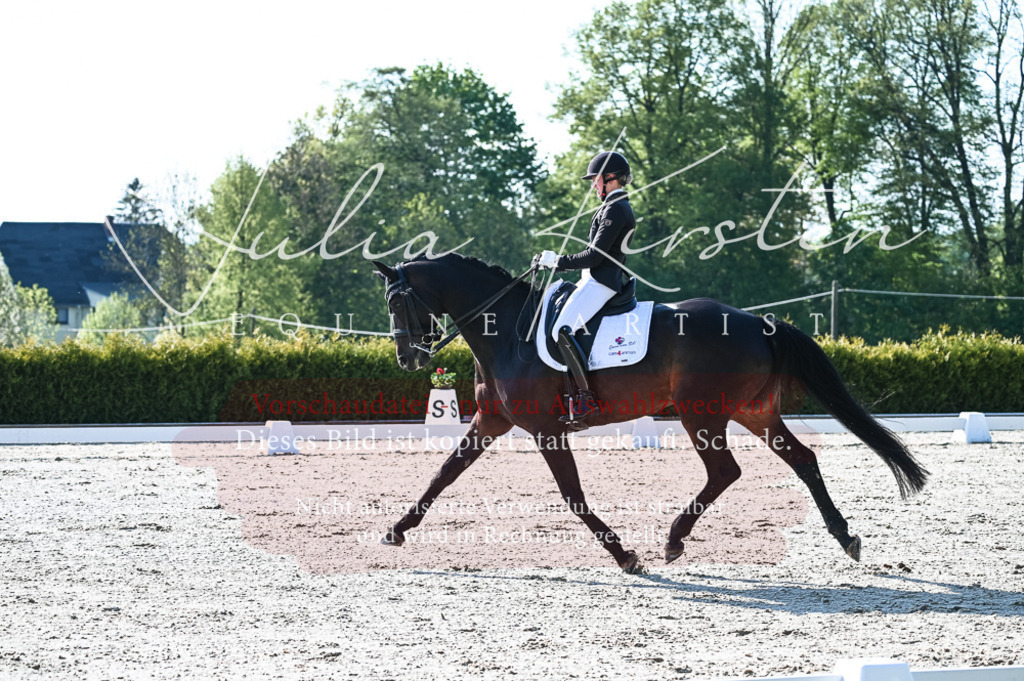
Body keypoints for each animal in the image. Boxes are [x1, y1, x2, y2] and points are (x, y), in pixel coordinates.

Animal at [372, 253, 928, 573]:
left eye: (398, 303)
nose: (407, 358)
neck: (508, 331)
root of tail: (756, 322)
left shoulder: (546, 429)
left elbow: (572, 495)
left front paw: (625, 555)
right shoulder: (492, 421)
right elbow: (444, 473)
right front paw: (397, 530)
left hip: (701, 413)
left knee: (726, 471)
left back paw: (673, 541)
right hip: (754, 412)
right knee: (803, 459)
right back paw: (845, 536)